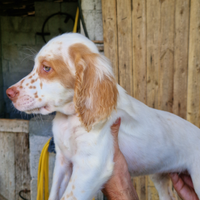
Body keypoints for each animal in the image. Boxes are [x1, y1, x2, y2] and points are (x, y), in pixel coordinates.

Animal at [5, 33, 200, 200]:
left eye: (46, 68)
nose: (9, 93)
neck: (70, 118)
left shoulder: (91, 166)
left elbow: (68, 196)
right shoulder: (63, 161)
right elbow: (54, 194)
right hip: (160, 177)